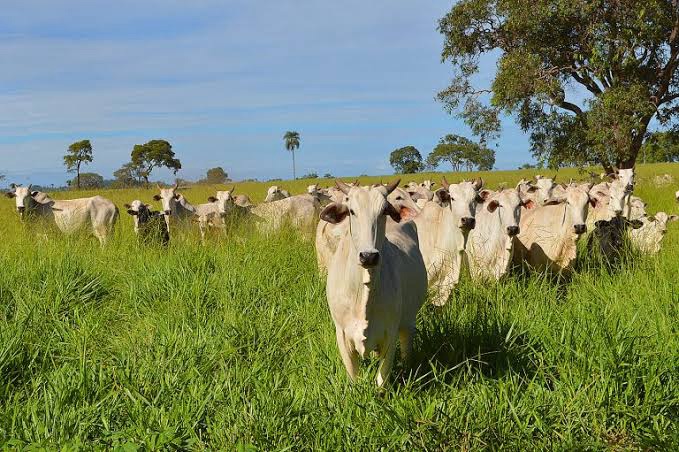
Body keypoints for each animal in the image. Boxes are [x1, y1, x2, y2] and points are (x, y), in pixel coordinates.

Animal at [321, 179, 427, 387]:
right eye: (351, 211)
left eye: (384, 211)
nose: (369, 256)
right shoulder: (342, 333)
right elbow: (353, 376)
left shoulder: (390, 334)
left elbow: (381, 379)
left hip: (408, 322)